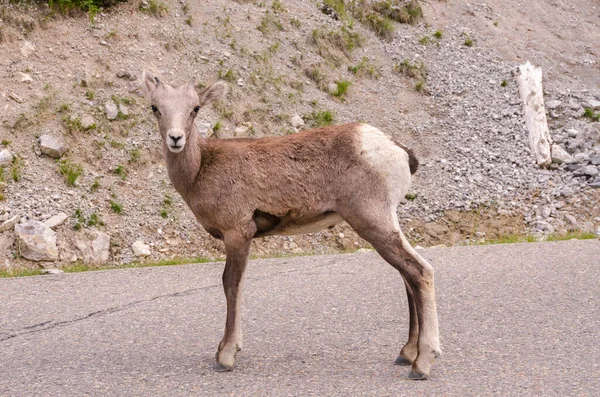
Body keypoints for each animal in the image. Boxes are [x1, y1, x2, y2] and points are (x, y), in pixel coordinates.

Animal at [141, 72, 440, 380]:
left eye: (195, 108)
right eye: (155, 108)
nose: (175, 138)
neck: (200, 169)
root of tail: (398, 151)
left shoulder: (238, 233)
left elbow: (231, 284)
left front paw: (226, 355)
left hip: (373, 220)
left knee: (419, 271)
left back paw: (422, 363)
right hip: (385, 223)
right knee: (407, 276)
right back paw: (406, 353)